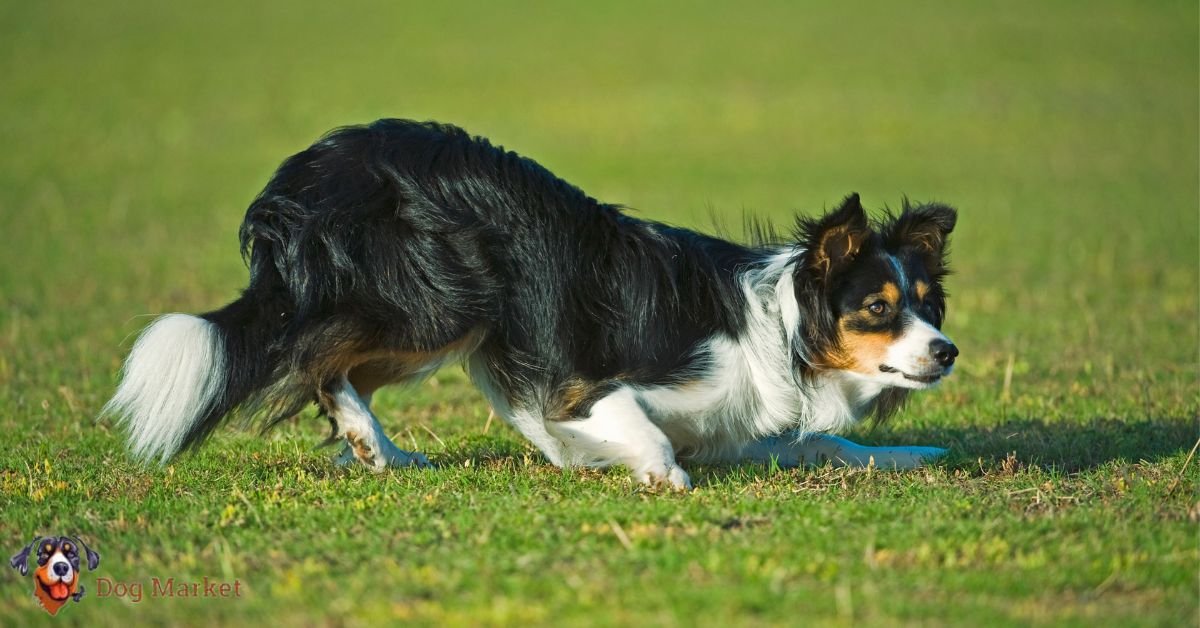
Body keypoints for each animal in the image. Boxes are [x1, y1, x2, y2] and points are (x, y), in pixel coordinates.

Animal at [100, 119, 955, 492]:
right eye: (878, 308)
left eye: (928, 307)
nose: (947, 353)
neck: (785, 327)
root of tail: (311, 167)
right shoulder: (582, 385)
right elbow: (640, 426)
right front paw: (658, 476)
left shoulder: (735, 426)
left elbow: (831, 443)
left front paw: (912, 455)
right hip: (442, 302)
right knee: (315, 357)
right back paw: (371, 442)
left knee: (335, 367)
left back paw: (382, 450)